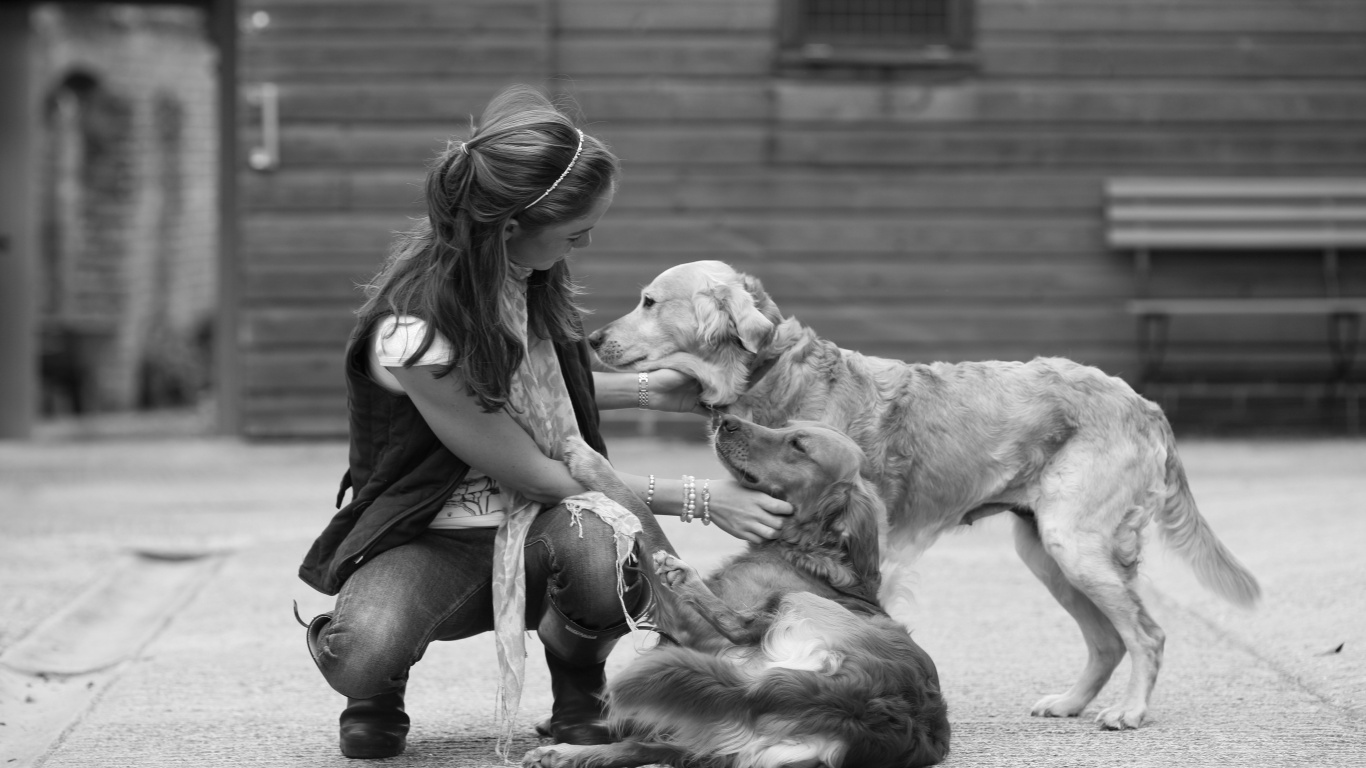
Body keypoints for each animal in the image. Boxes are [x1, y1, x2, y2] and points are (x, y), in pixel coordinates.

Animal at [521, 415, 950, 765]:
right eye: (786, 425)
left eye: (798, 445)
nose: (724, 419)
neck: (805, 549)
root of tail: (863, 701)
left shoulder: (692, 628)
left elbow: (641, 515)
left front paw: (590, 460)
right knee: (643, 746)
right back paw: (566, 753)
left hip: (784, 610)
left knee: (737, 626)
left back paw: (686, 577)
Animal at [587, 259, 1256, 727]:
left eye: (648, 301)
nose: (591, 340)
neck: (772, 372)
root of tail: (1143, 401)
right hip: (1045, 552)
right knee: (1108, 640)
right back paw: (1070, 702)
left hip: (1076, 546)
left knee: (1146, 634)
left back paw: (1131, 711)